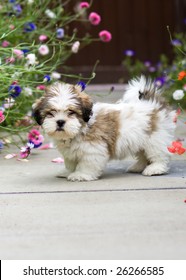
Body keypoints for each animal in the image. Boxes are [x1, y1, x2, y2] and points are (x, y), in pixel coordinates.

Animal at [32, 76, 176, 182]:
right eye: (51, 113)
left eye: (71, 112)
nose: (60, 122)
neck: (80, 128)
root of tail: (153, 104)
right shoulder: (70, 153)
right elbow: (70, 162)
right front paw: (67, 171)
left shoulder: (93, 149)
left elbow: (87, 163)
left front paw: (81, 175)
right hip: (140, 139)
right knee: (142, 154)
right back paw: (137, 167)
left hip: (154, 138)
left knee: (159, 154)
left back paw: (155, 168)